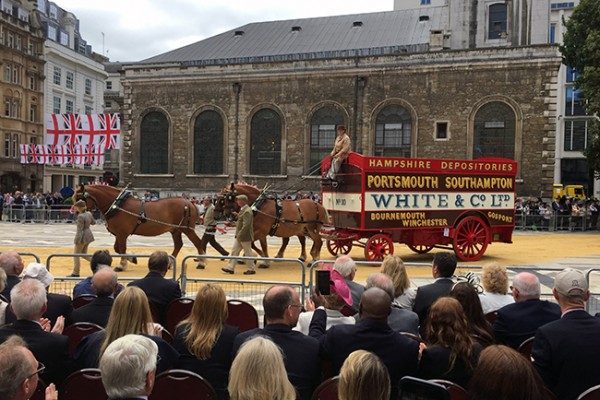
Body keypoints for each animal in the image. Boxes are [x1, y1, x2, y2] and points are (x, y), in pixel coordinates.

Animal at [72, 184, 204, 268]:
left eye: (80, 198)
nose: (75, 213)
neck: (118, 205)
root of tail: (189, 203)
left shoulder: (122, 234)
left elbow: (122, 249)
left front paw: (122, 265)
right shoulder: (119, 234)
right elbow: (117, 249)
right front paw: (132, 258)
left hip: (187, 229)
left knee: (198, 243)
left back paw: (201, 262)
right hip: (175, 230)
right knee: (178, 245)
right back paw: (171, 263)